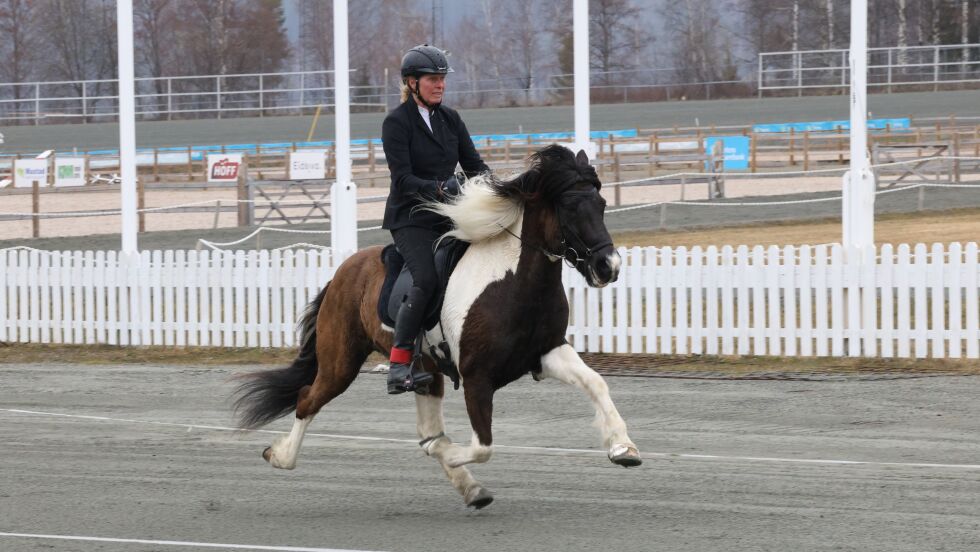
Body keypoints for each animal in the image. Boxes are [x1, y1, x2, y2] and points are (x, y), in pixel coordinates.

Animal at [233, 146, 640, 508]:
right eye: (570, 207)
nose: (609, 266)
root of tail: (342, 273)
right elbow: (482, 446)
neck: (514, 281)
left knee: (425, 429)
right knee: (307, 400)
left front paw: (623, 447)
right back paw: (280, 456)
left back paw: (471, 489)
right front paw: (451, 453)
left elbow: (596, 384)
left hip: (425, 372)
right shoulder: (477, 377)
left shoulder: (547, 353)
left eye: (602, 205)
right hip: (340, 363)